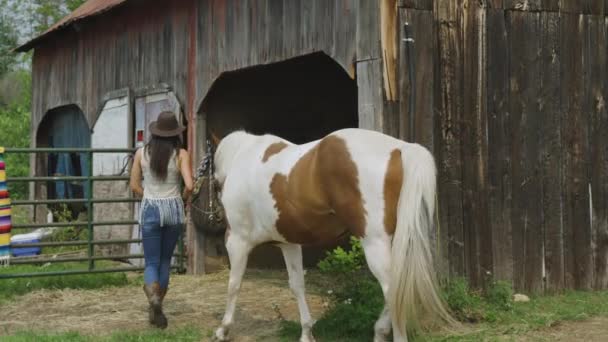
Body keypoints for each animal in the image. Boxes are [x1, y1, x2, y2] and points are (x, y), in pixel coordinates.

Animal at [211, 128, 454, 342]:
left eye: (214, 183)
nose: (217, 216)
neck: (242, 158)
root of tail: (399, 149)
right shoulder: (289, 244)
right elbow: (297, 285)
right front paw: (306, 333)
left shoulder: (237, 241)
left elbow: (234, 284)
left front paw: (223, 329)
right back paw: (379, 331)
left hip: (374, 243)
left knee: (392, 292)